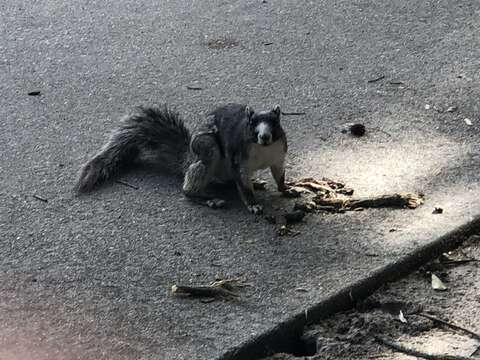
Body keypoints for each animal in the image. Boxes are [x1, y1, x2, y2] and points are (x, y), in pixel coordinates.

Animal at [75, 102, 292, 214]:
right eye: (251, 123)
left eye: (274, 123)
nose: (264, 136)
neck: (264, 149)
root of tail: (188, 158)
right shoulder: (239, 161)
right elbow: (244, 187)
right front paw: (253, 204)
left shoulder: (278, 156)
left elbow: (279, 174)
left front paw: (286, 189)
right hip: (207, 149)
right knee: (191, 186)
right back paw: (208, 199)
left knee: (228, 181)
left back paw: (256, 183)